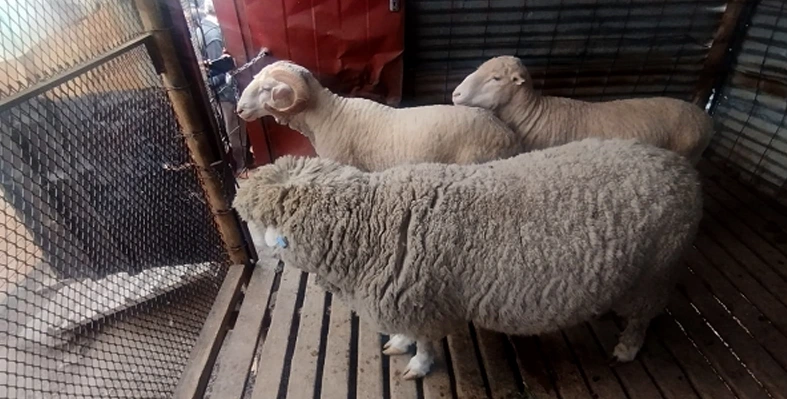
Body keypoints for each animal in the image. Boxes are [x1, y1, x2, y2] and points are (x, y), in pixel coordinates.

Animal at [231, 138, 704, 382]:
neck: (373, 222)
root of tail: (681, 168)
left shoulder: (421, 300)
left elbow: (424, 342)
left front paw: (417, 364)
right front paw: (398, 343)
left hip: (657, 271)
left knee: (643, 318)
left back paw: (626, 347)